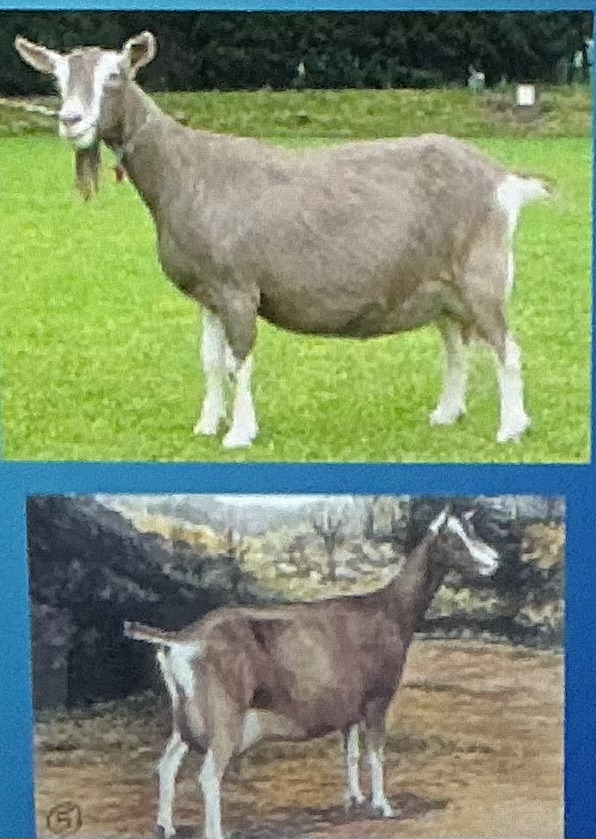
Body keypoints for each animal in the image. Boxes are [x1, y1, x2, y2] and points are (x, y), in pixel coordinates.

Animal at [15, 32, 548, 448]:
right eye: (57, 80)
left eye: (115, 75)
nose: (70, 121)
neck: (185, 172)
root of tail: (503, 180)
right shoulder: (206, 294)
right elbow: (210, 362)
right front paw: (206, 425)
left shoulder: (237, 287)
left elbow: (239, 360)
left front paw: (239, 433)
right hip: (440, 287)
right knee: (457, 345)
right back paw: (446, 414)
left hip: (482, 275)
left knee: (506, 347)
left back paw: (511, 428)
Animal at [123, 507, 499, 839]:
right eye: (454, 537)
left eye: (472, 529)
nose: (494, 560)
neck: (389, 612)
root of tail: (182, 638)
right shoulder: (377, 701)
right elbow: (376, 754)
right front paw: (383, 805)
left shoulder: (349, 710)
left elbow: (351, 753)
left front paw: (355, 798)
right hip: (224, 716)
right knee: (208, 775)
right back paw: (214, 832)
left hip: (184, 716)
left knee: (167, 764)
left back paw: (166, 826)